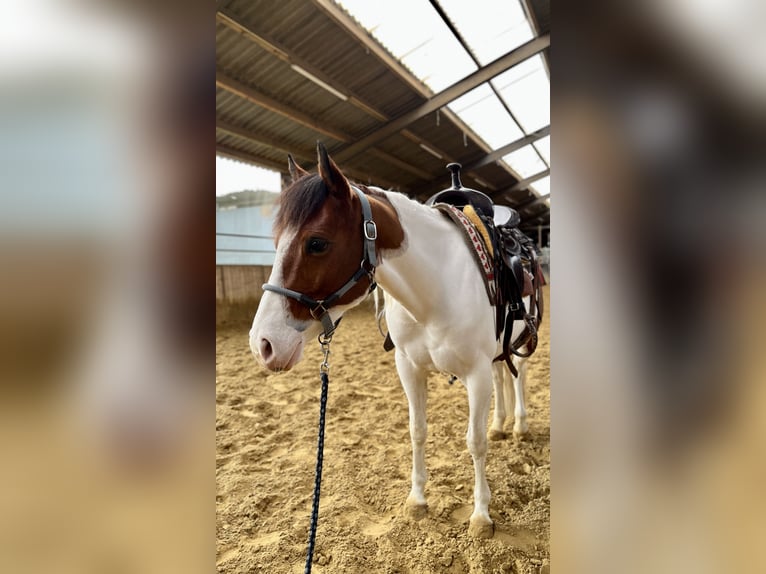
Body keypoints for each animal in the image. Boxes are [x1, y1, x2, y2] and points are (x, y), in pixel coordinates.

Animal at [250, 143, 538, 538]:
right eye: (276, 242)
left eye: (317, 243)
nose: (262, 343)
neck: (435, 289)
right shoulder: (409, 367)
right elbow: (417, 430)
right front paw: (417, 500)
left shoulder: (475, 373)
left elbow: (474, 442)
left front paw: (481, 515)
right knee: (502, 377)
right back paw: (501, 425)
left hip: (520, 340)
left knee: (517, 375)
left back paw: (520, 426)